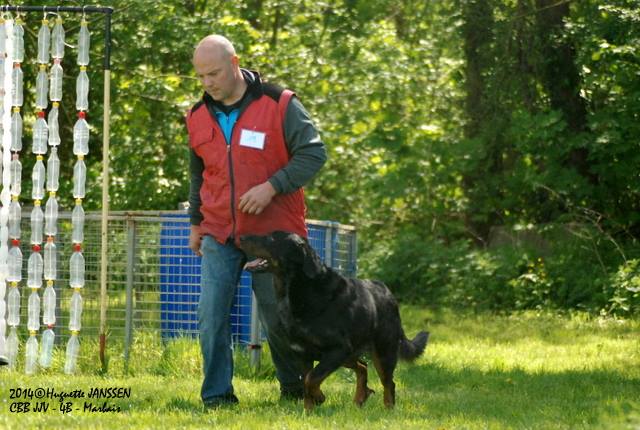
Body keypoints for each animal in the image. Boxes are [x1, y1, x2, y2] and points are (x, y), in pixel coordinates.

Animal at [238, 230, 428, 412]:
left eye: (270, 238)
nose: (240, 237)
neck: (296, 289)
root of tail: (389, 295)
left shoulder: (338, 348)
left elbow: (311, 378)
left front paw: (319, 397)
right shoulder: (304, 353)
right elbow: (307, 379)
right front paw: (309, 411)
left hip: (381, 351)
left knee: (388, 382)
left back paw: (388, 409)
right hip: (347, 354)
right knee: (363, 366)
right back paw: (360, 397)